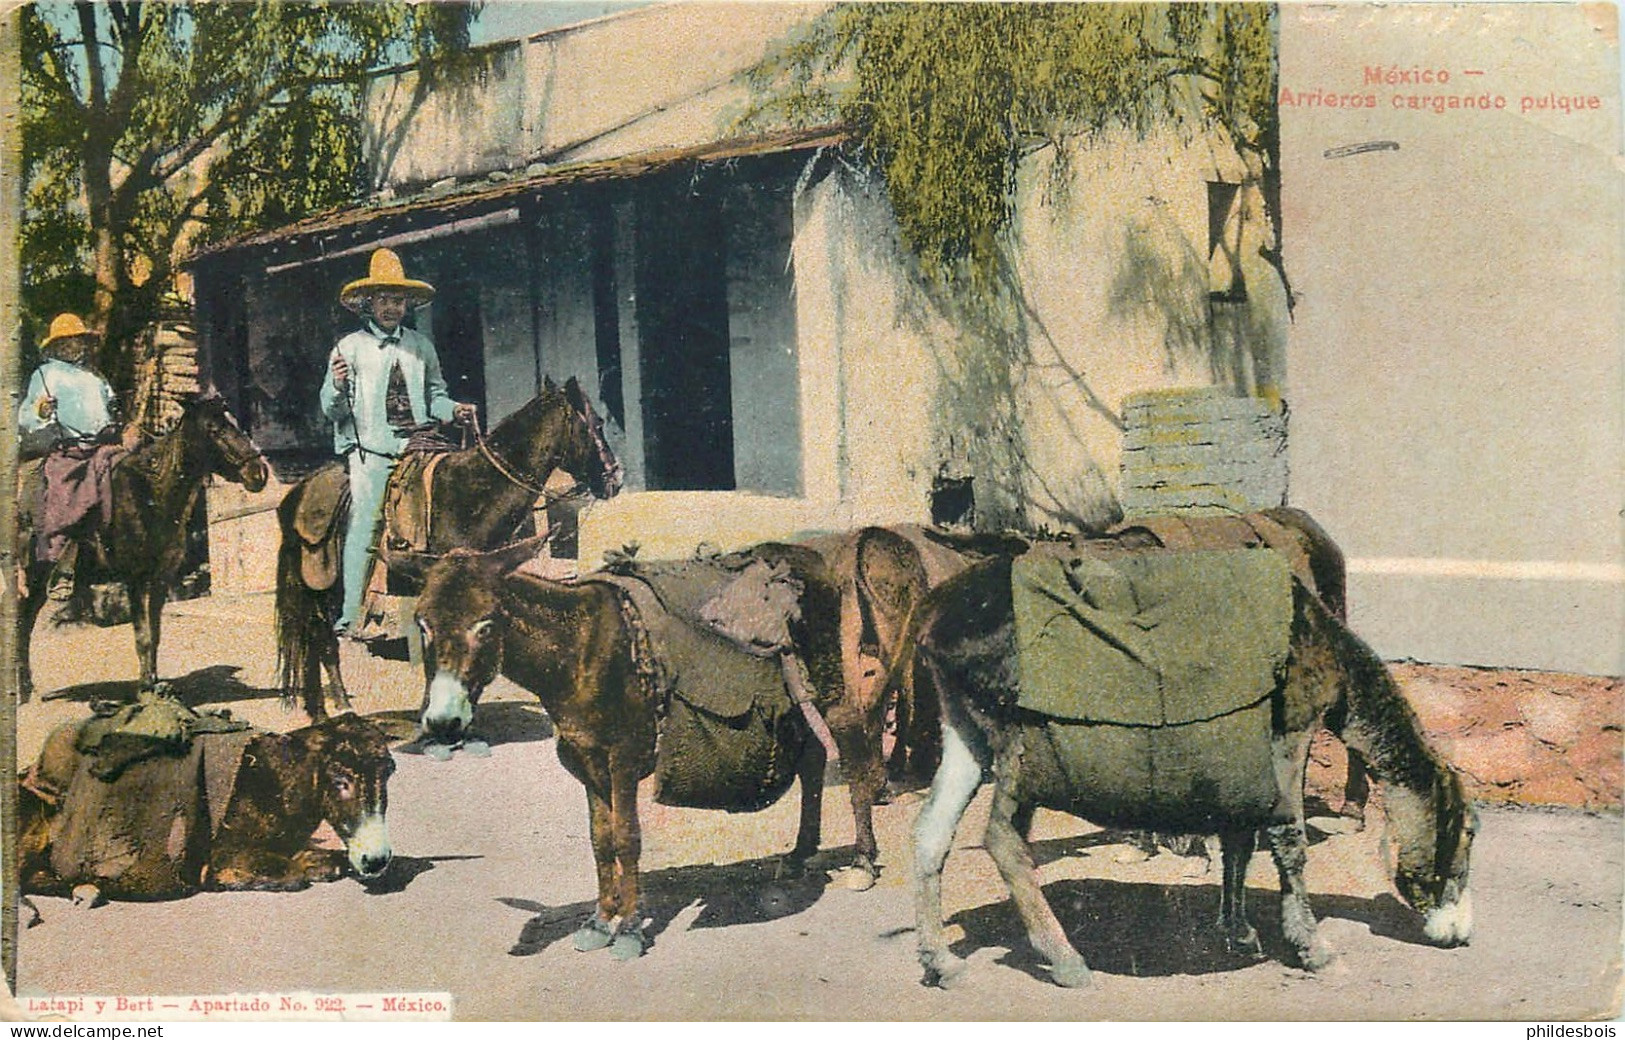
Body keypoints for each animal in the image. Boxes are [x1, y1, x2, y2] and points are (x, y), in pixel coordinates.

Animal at [14, 393, 266, 702]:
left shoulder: (159, 580)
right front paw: (145, 687)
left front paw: (155, 683)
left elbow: (154, 635)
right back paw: (22, 690)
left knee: (26, 622)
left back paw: (27, 687)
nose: (258, 473)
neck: (151, 496)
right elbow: (142, 636)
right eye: (214, 429)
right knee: (21, 622)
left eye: (234, 423)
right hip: (33, 574)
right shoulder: (135, 579)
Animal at [21, 711, 393, 897]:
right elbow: (293, 874)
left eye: (389, 772)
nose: (377, 860)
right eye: (341, 781)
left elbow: (328, 861)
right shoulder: (228, 856)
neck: (275, 782)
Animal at [276, 375, 617, 721]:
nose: (614, 478)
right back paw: (337, 706)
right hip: (321, 591)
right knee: (322, 641)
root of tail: (299, 492)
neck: (471, 494)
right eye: (598, 423)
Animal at [399, 539, 845, 962]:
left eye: (486, 625)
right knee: (813, 761)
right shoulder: (586, 760)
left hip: (832, 695)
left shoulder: (624, 759)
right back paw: (801, 854)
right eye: (423, 624)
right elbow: (601, 839)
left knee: (838, 763)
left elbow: (628, 839)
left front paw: (629, 929)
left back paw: (838, 859)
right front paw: (600, 920)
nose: (443, 721)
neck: (579, 650)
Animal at [910, 549, 1482, 988]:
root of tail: (936, 610)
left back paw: (941, 962)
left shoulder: (1244, 756)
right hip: (1019, 739)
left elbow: (1239, 841)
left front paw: (1239, 931)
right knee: (1003, 840)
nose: (1461, 936)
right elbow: (1289, 842)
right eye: (1469, 834)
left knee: (931, 832)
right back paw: (1065, 959)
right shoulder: (1290, 729)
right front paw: (1311, 947)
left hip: (964, 726)